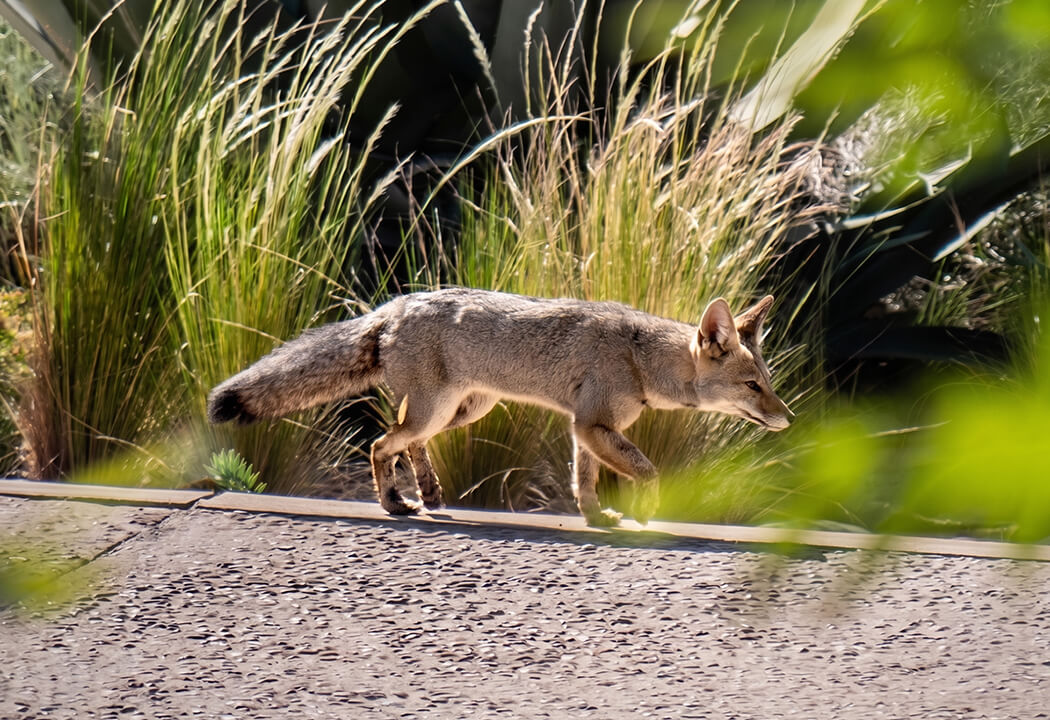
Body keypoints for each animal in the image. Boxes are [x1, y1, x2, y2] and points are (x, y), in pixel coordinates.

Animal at [207, 288, 793, 526]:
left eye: (768, 384)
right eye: (752, 387)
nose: (789, 419)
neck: (639, 356)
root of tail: (396, 304)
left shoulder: (585, 429)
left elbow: (584, 482)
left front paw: (596, 518)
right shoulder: (592, 424)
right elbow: (647, 471)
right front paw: (646, 511)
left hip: (462, 411)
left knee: (406, 442)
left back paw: (428, 492)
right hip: (438, 410)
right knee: (380, 443)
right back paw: (394, 503)